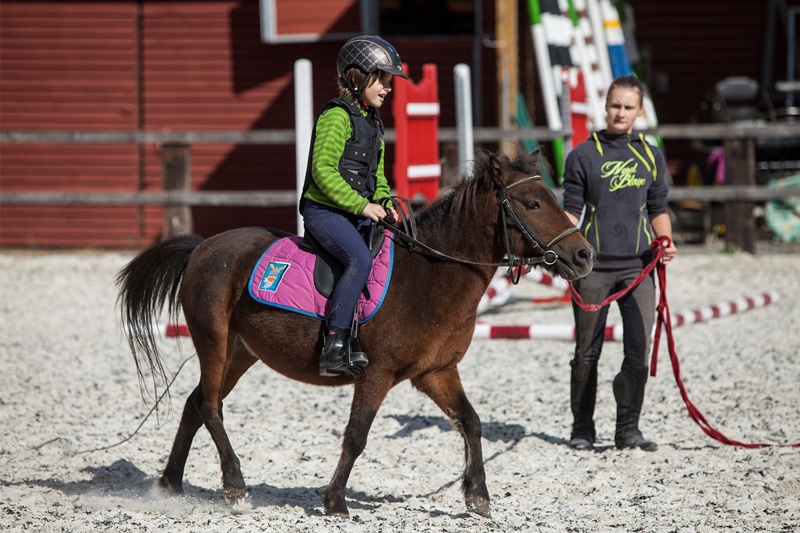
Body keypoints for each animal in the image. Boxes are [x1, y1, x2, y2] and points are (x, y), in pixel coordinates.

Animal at [116, 149, 595, 518]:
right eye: (532, 204)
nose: (584, 255)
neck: (430, 274)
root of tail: (202, 247)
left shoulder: (437, 372)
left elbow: (471, 422)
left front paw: (477, 495)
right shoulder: (376, 374)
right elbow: (357, 435)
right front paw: (335, 501)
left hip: (240, 353)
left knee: (195, 404)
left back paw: (170, 483)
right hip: (214, 344)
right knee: (211, 407)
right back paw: (234, 484)